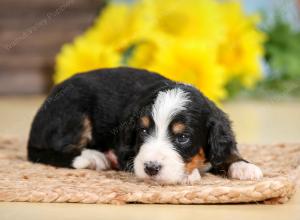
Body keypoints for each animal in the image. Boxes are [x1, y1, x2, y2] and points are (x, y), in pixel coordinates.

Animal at [28, 66, 262, 184]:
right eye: (143, 130)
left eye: (183, 137)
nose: (151, 168)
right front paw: (190, 175)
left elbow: (226, 153)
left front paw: (243, 167)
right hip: (73, 112)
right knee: (48, 152)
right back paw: (93, 157)